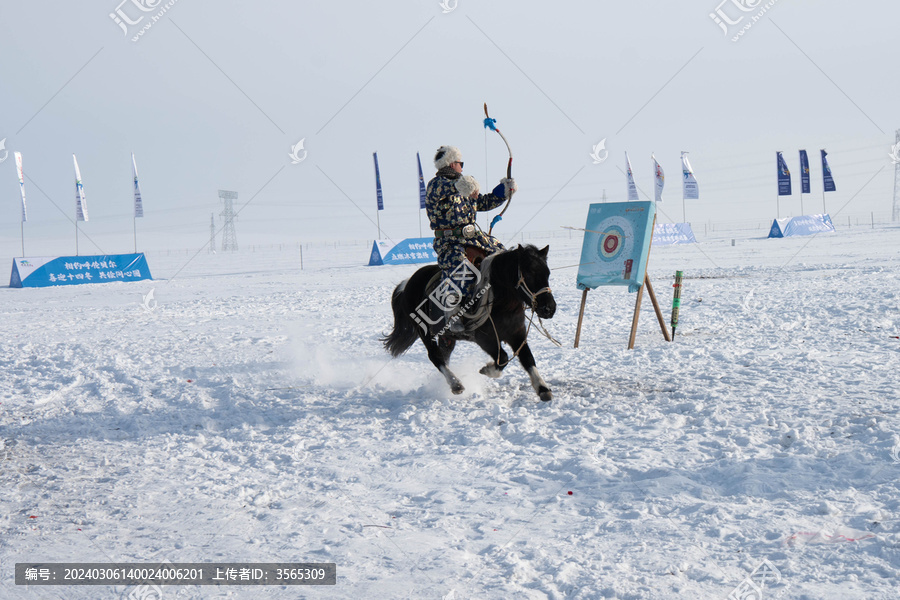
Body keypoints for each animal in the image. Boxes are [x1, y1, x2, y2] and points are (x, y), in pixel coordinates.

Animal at [382, 244, 556, 404]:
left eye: (547, 273)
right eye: (529, 274)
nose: (549, 308)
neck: (499, 301)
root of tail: (407, 283)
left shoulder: (516, 334)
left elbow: (527, 358)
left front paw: (542, 388)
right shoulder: (485, 339)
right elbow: (503, 357)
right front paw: (487, 369)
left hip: (446, 337)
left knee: (444, 356)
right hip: (424, 332)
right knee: (435, 356)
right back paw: (456, 384)